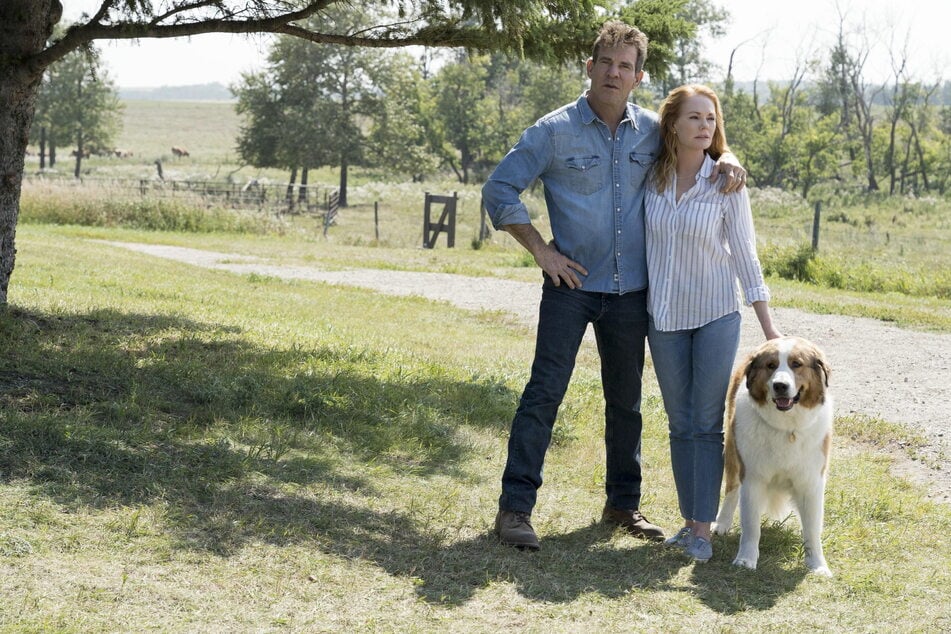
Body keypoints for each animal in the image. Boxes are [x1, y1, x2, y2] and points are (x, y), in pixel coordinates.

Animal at [712, 338, 832, 576]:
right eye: (771, 366)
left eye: (797, 364)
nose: (780, 386)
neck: (786, 428)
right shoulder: (753, 479)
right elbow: (751, 526)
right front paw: (746, 559)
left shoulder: (811, 483)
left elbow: (812, 529)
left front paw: (817, 565)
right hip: (732, 454)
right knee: (731, 489)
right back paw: (722, 523)